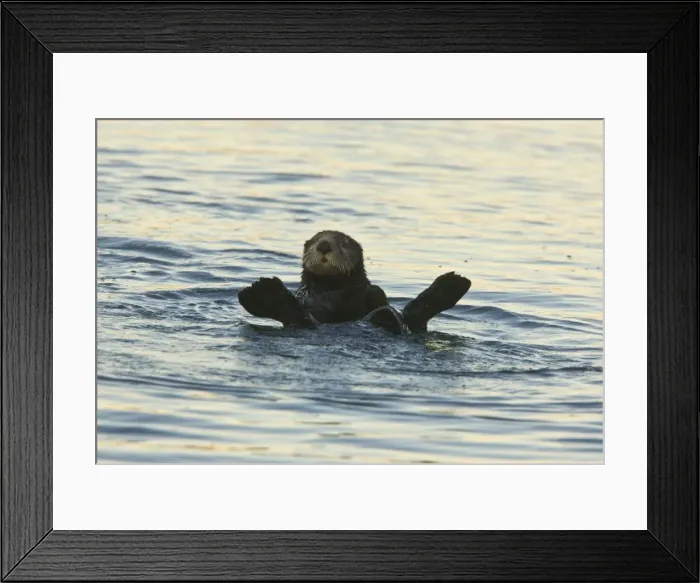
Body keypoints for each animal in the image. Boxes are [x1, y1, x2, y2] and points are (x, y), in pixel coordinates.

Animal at [237, 230, 471, 334]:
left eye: (344, 244)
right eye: (314, 241)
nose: (323, 245)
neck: (334, 289)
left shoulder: (371, 292)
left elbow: (376, 293)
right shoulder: (306, 295)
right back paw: (263, 292)